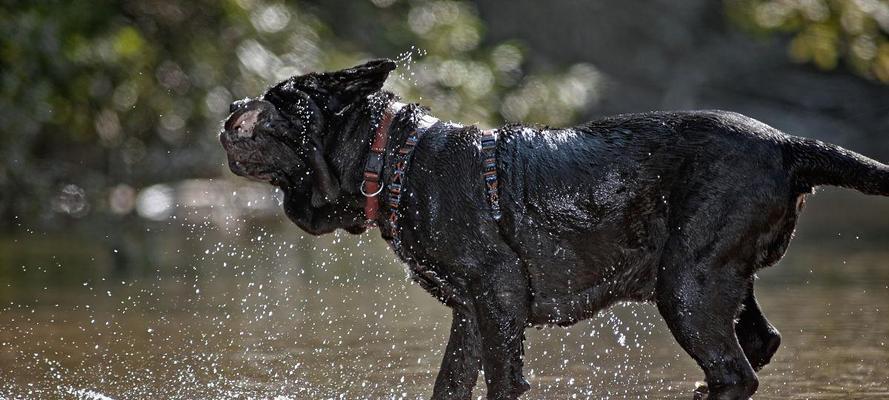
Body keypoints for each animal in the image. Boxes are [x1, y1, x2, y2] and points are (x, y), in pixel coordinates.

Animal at [217, 59, 888, 400]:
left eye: (279, 98)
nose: (231, 107)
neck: (397, 158)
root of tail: (787, 145)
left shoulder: (498, 292)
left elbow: (503, 382)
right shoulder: (471, 310)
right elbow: (450, 383)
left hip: (686, 285)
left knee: (735, 371)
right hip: (715, 279)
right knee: (758, 345)